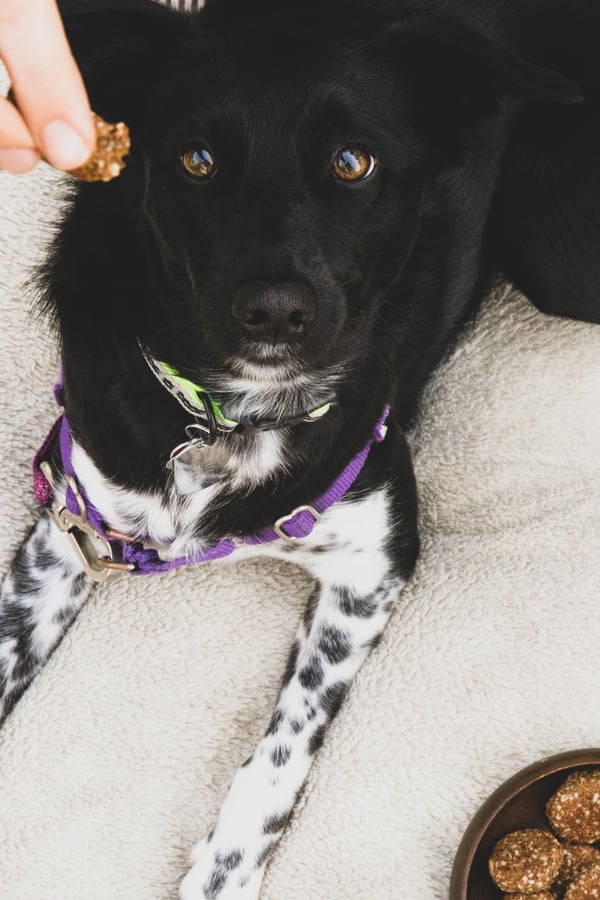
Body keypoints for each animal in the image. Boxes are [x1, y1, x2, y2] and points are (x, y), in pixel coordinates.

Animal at [0, 3, 596, 896]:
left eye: (354, 162)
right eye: (198, 159)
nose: (275, 311)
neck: (225, 422)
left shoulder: (373, 560)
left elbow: (283, 750)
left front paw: (222, 874)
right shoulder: (71, 527)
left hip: (558, 248)